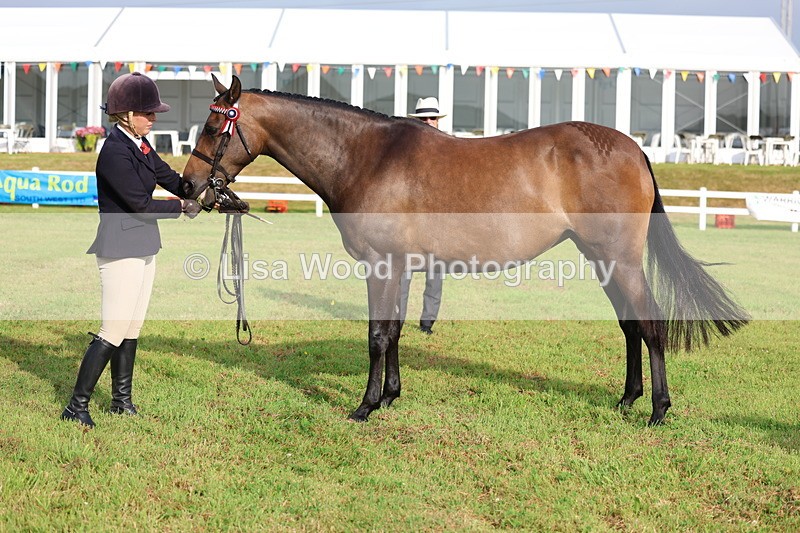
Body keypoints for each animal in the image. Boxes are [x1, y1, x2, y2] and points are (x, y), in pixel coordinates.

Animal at [181, 75, 749, 426]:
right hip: (601, 258)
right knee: (630, 325)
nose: (189, 188)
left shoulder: (381, 265)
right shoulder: (404, 266)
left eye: (212, 126)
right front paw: (391, 397)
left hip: (621, 259)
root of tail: (632, 147)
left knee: (650, 324)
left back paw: (657, 409)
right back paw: (627, 399)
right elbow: (395, 332)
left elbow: (377, 336)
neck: (368, 156)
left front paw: (365, 407)